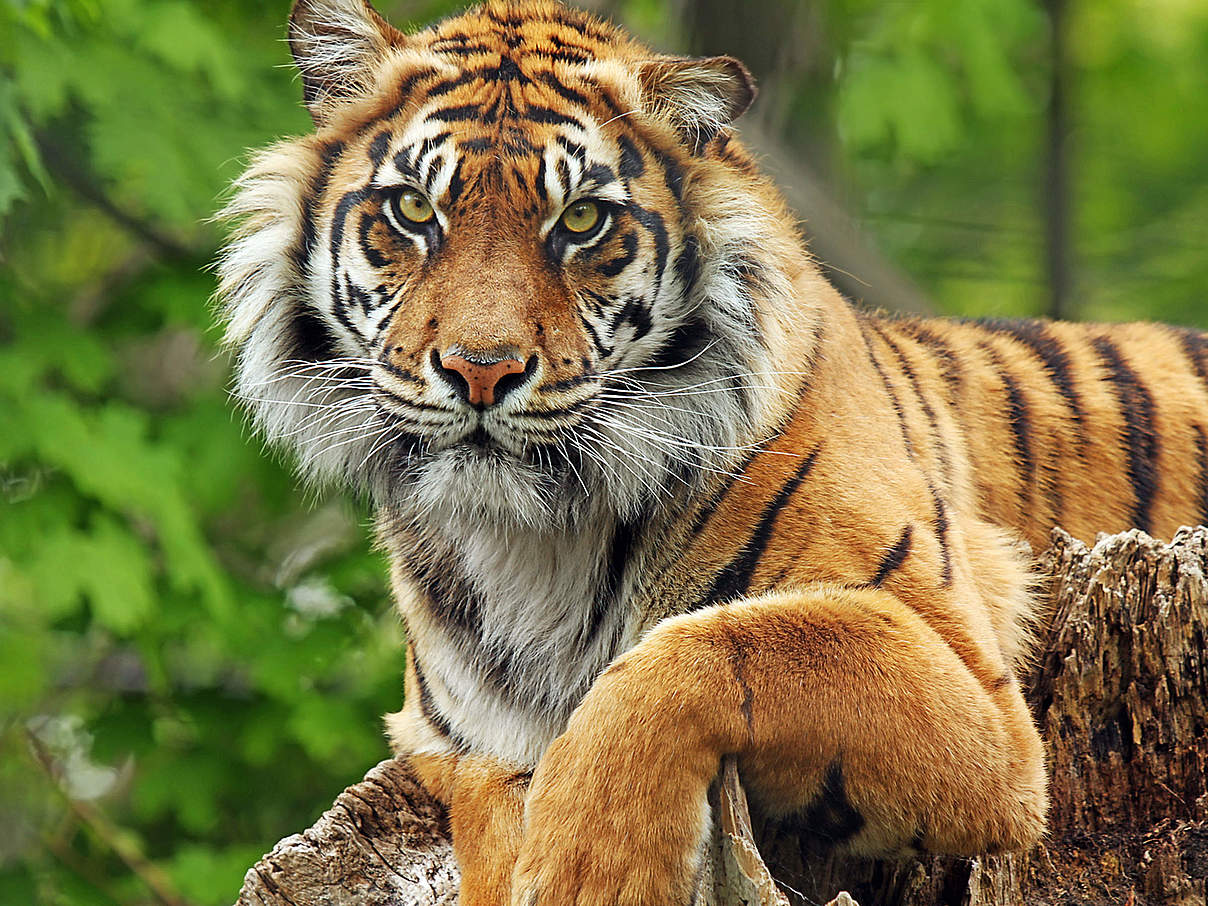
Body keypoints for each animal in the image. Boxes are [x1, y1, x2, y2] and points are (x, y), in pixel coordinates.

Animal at [217, 1, 1208, 906]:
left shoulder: (980, 695)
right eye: (413, 210)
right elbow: (491, 811)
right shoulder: (449, 737)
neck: (534, 540)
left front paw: (593, 870)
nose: (480, 369)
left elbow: (707, 646)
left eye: (581, 221)